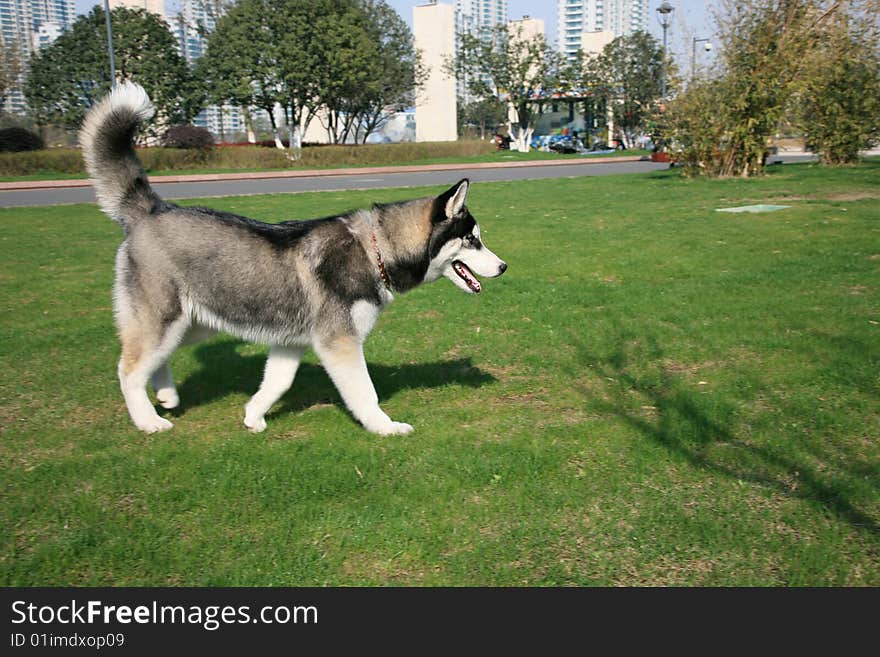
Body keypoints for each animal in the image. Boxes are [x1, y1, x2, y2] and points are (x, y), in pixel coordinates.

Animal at [84, 83, 508, 436]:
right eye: (472, 240)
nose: (504, 267)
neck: (375, 250)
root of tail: (153, 209)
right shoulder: (339, 342)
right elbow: (365, 392)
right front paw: (384, 427)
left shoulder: (291, 343)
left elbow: (277, 383)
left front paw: (253, 416)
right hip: (165, 319)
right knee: (128, 370)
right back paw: (148, 420)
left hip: (194, 322)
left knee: (156, 360)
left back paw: (167, 394)